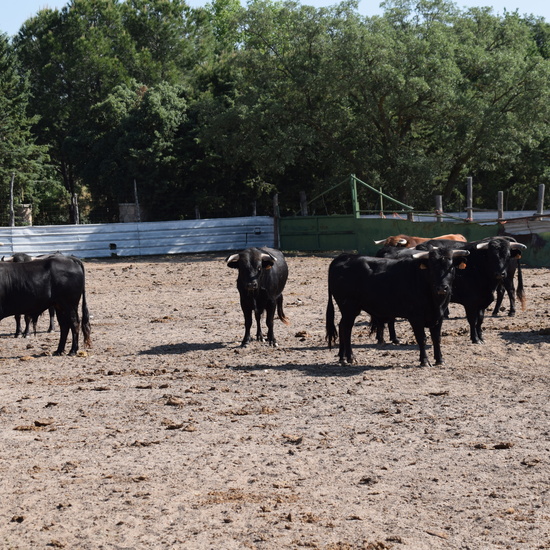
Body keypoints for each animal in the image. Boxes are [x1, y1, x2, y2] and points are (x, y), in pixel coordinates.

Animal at [328, 249, 470, 368]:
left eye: (451, 267)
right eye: (432, 268)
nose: (442, 288)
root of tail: (344, 257)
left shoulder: (439, 316)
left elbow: (436, 338)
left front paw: (440, 360)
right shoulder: (416, 317)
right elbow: (422, 338)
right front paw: (424, 361)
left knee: (341, 327)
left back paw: (342, 357)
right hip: (349, 308)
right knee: (346, 329)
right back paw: (350, 357)